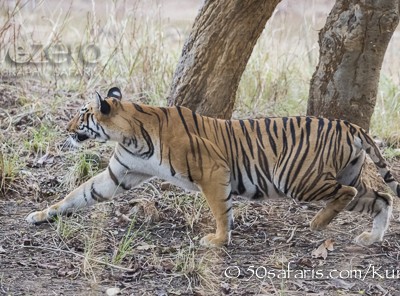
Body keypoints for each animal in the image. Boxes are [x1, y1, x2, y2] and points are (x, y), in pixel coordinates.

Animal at [25, 86, 400, 246]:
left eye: (82, 114)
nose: (66, 128)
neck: (130, 134)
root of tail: (348, 125)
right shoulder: (119, 174)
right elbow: (79, 194)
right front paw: (40, 215)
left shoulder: (213, 171)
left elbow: (220, 209)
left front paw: (217, 240)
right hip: (345, 176)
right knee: (382, 198)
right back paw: (370, 237)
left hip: (299, 179)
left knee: (348, 193)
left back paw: (319, 223)